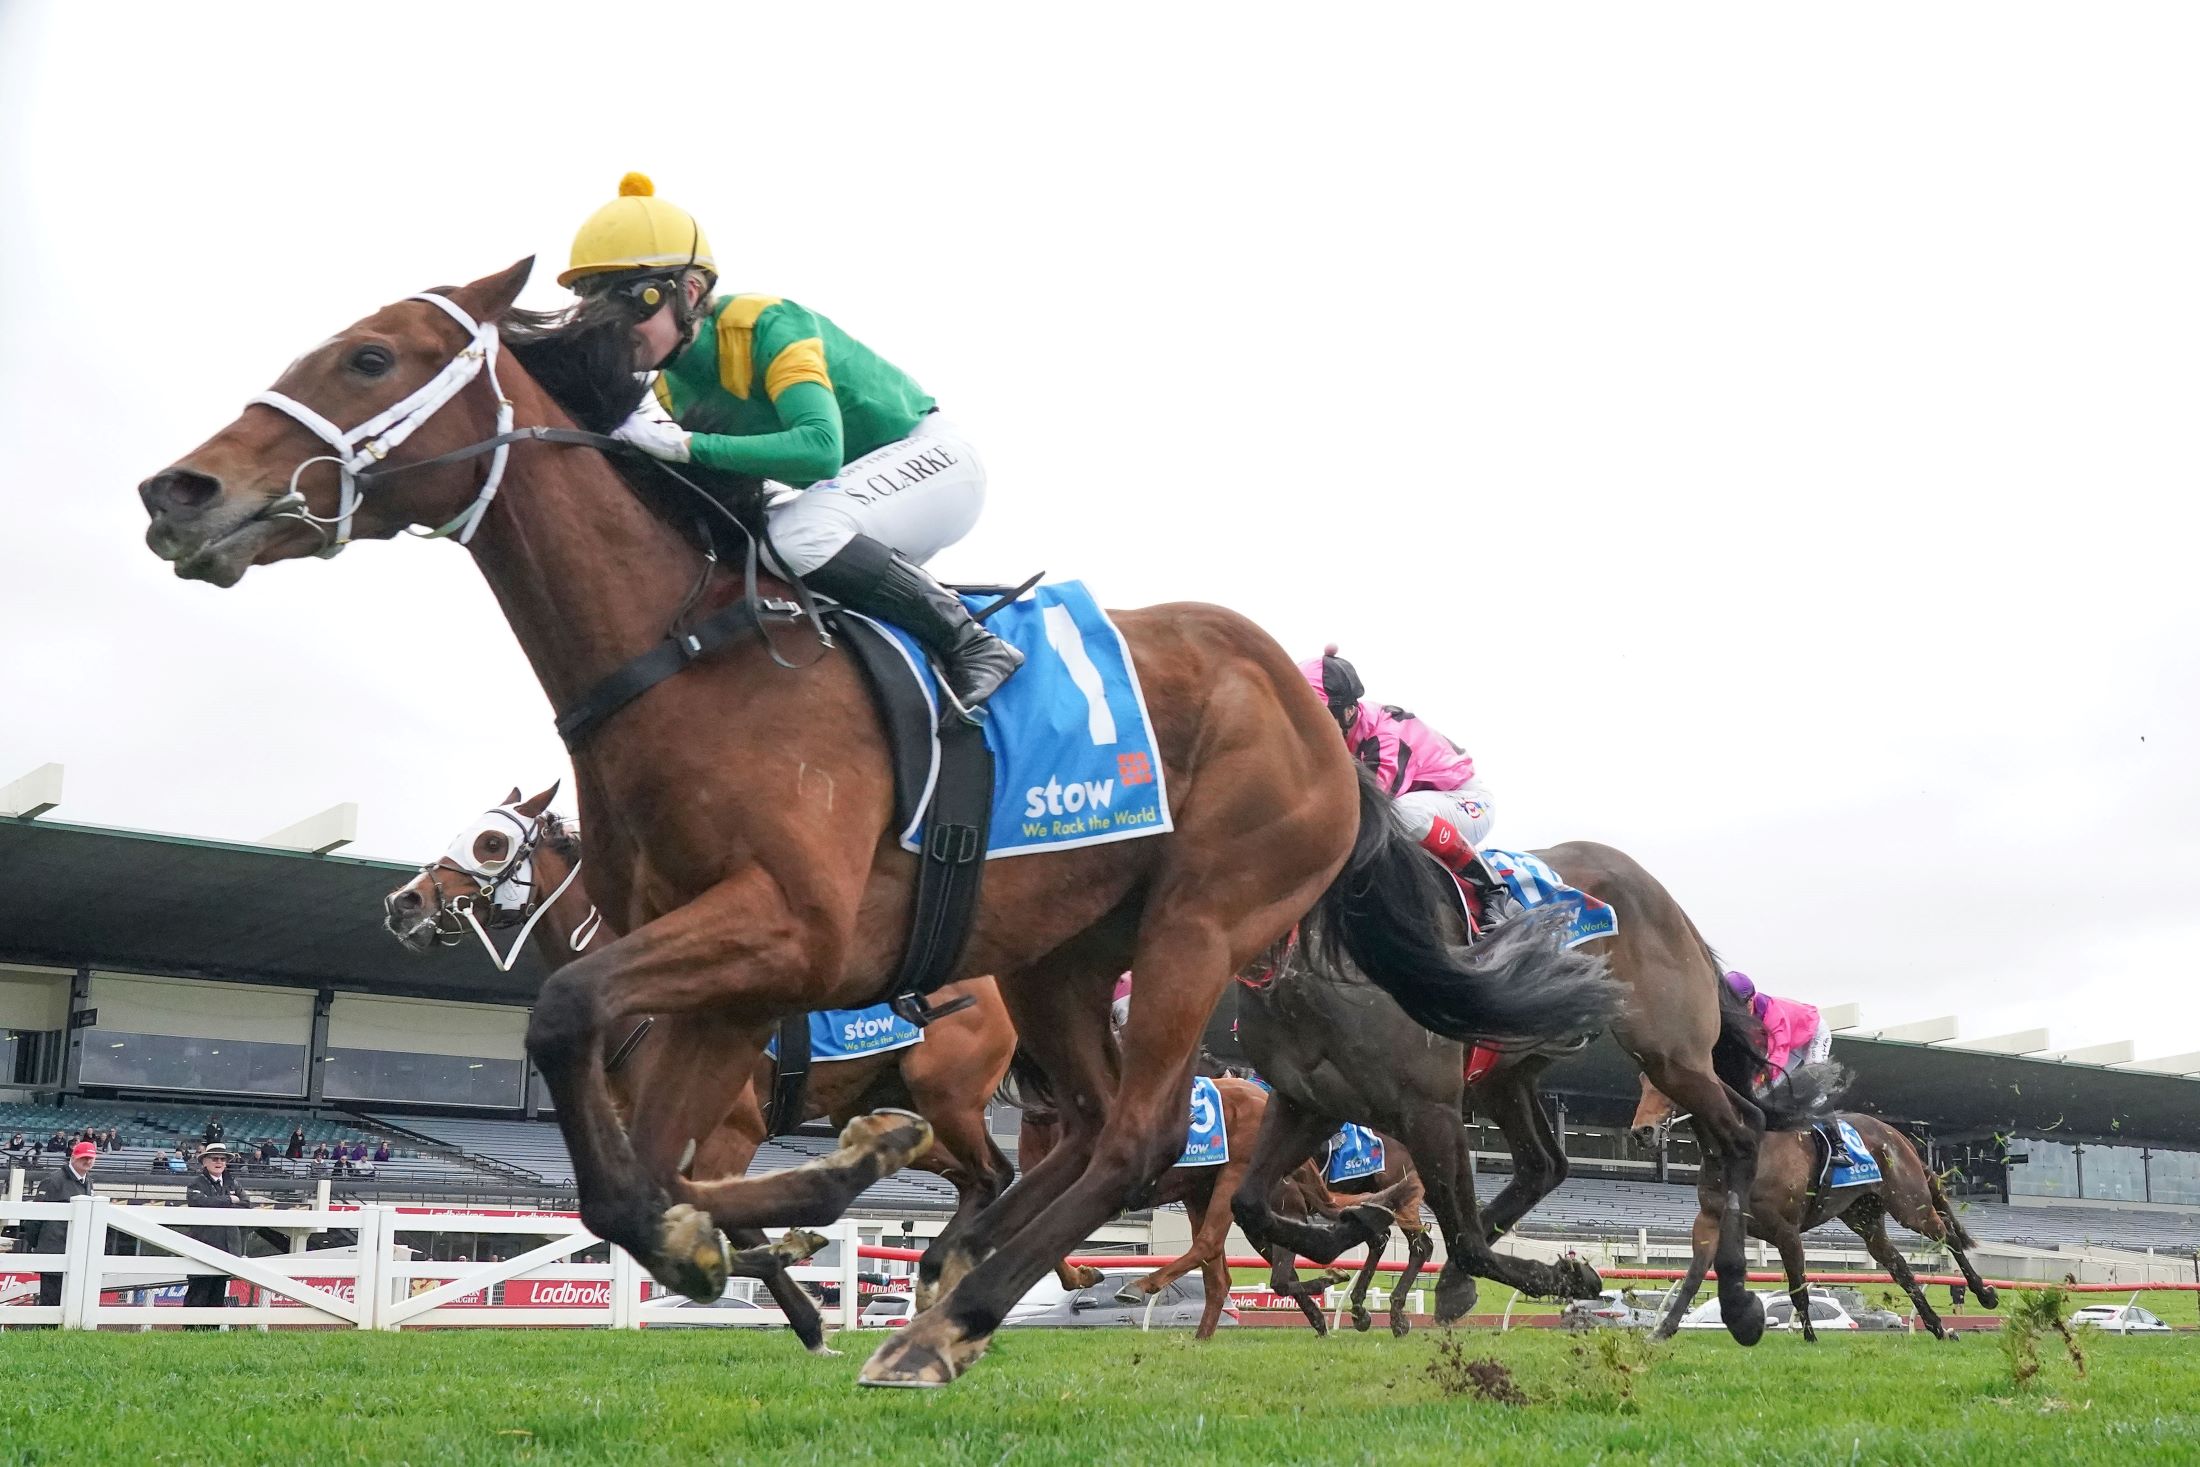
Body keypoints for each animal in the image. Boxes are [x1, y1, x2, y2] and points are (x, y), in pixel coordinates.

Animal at [381, 783, 1020, 1351]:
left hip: (947, 1096)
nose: (403, 902)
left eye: (490, 842)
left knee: (995, 1175)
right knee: (974, 1179)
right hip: (885, 1109)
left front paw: (793, 1277)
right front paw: (807, 1316)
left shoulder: (730, 1135)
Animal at [1226, 841, 1820, 1344]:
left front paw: (1572, 1276)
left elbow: (1465, 1239)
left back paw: (1739, 1300)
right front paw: (1347, 1238)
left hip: (1668, 1051)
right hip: (1510, 1071)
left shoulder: (1429, 1108)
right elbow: (1249, 1203)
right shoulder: (1307, 1103)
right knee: (1550, 1163)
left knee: (1737, 1133)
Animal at [1651, 1111, 1999, 1341]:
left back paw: (1984, 1294)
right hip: (1865, 1218)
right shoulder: (1711, 1220)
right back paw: (1938, 1326)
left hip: (1910, 1206)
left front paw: (1810, 1336)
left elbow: (1798, 1289)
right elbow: (1693, 1276)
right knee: (1899, 1266)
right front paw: (1664, 1329)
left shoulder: (1786, 1231)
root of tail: (1903, 1139)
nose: (1644, 1130)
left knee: (1948, 1235)